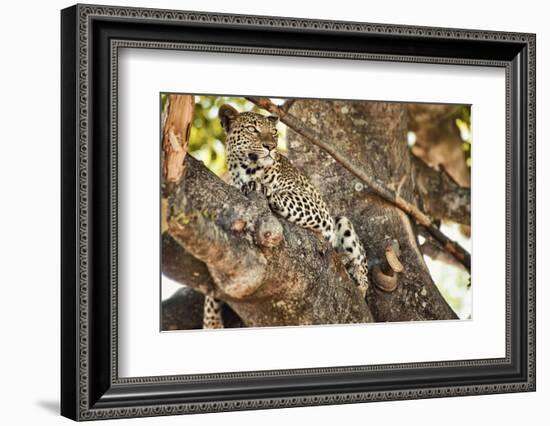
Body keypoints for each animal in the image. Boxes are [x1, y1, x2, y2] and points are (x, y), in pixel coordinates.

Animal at [203, 104, 370, 330]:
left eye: (274, 132)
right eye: (253, 130)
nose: (271, 146)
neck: (245, 171)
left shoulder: (317, 208)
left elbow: (283, 195)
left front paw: (261, 187)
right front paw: (211, 322)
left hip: (342, 222)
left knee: (363, 272)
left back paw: (352, 269)